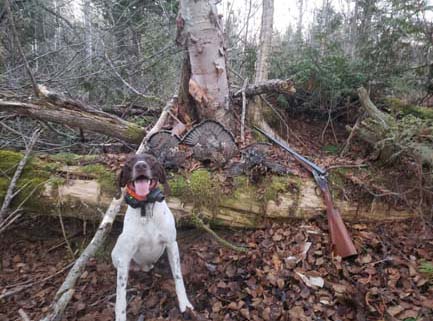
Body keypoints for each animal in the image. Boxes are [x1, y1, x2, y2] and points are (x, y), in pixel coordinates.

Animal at [111, 152, 192, 320]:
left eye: (151, 160)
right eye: (129, 162)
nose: (140, 166)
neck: (146, 207)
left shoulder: (171, 244)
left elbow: (178, 277)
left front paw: (185, 304)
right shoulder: (124, 259)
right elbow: (120, 298)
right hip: (118, 254)